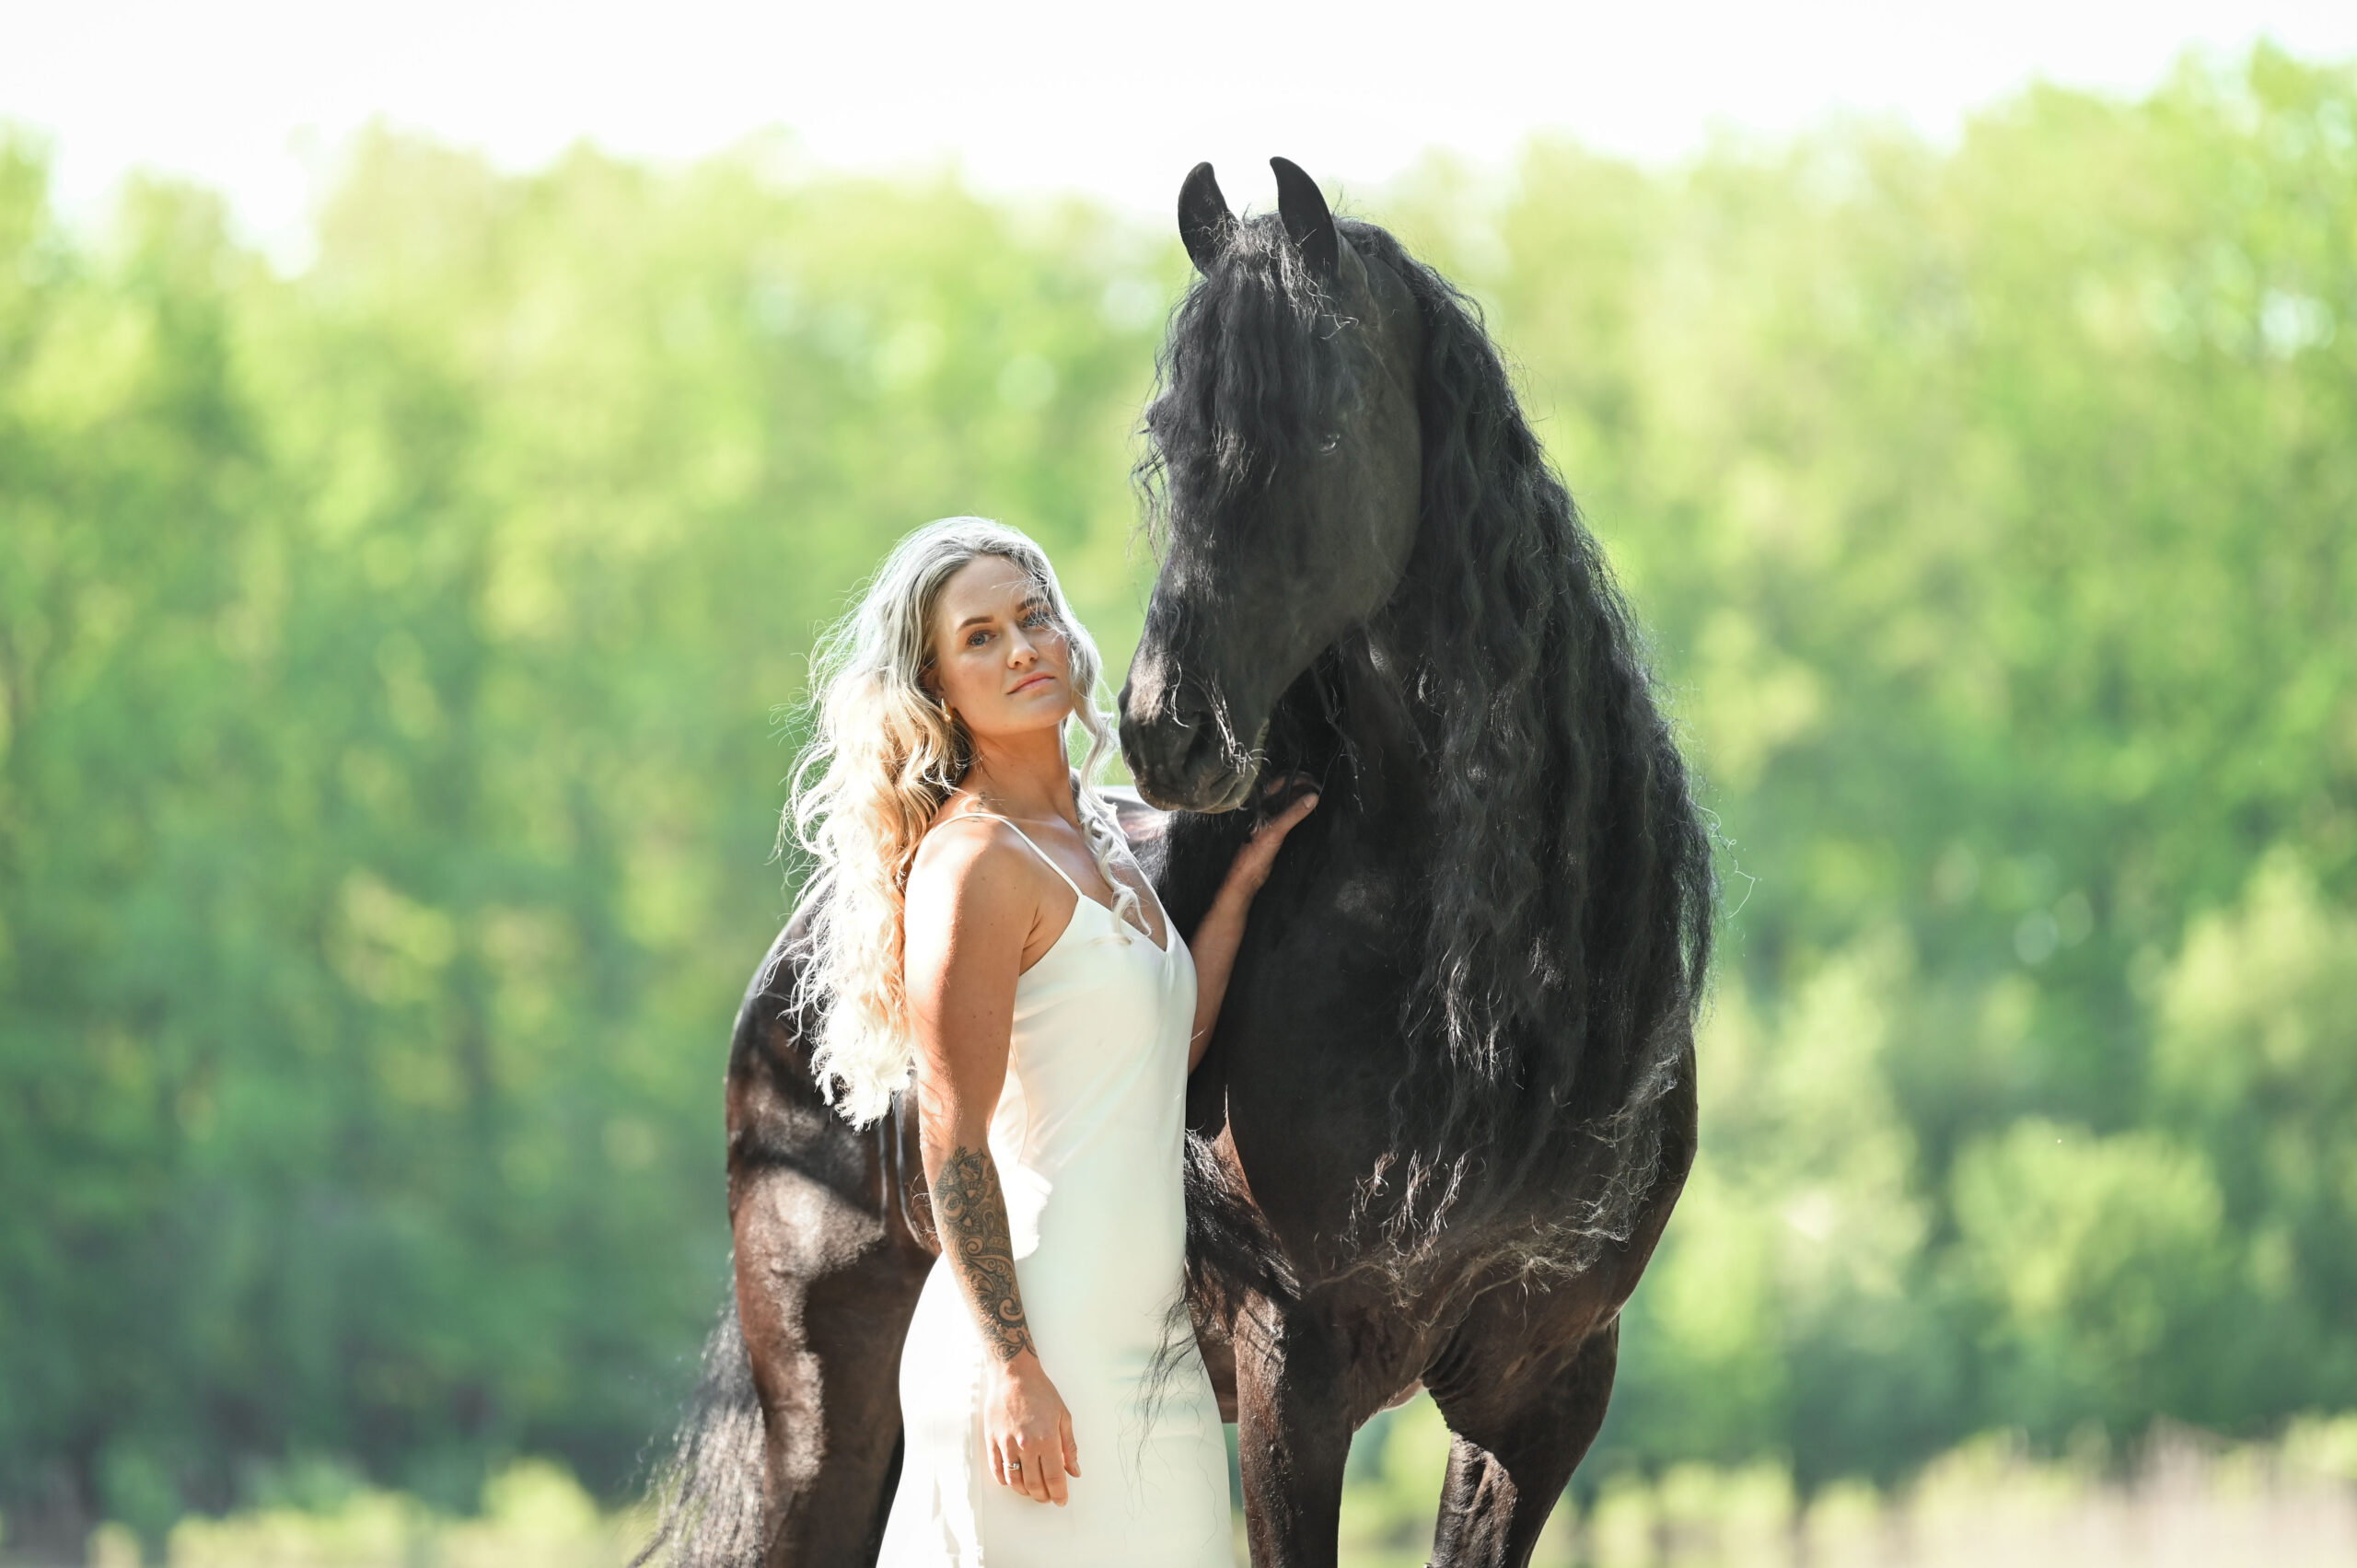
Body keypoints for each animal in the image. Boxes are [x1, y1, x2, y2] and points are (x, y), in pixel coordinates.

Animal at [633, 158, 1712, 1568]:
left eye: (1327, 425)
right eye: (1168, 432)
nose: (1168, 726)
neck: (1475, 1010)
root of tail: (811, 956)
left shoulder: (1545, 1395)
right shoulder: (1292, 1373)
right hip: (822, 1408)